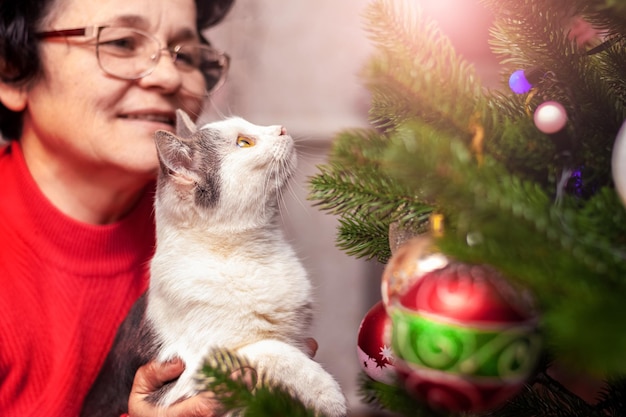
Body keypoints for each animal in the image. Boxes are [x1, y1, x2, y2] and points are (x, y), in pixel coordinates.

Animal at [80, 109, 346, 416]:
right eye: (244, 143)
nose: (282, 129)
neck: (257, 252)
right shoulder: (182, 377)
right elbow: (269, 350)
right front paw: (327, 394)